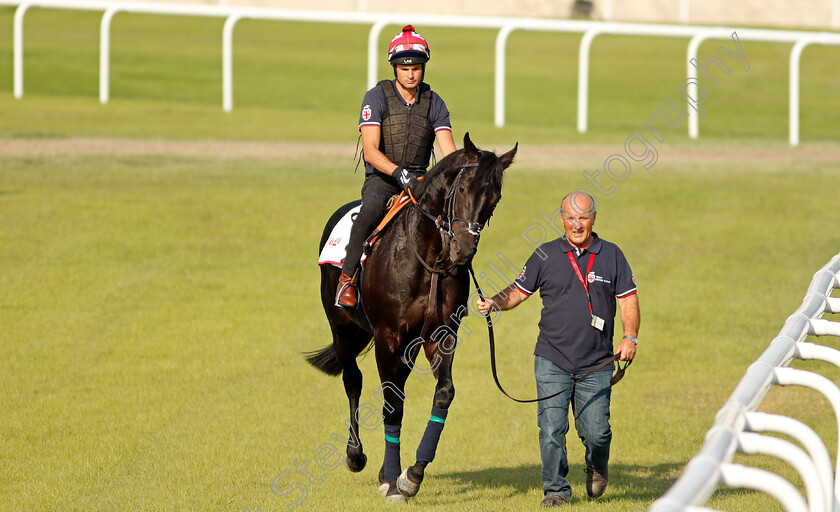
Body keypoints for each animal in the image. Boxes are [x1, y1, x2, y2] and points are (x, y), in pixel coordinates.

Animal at [306, 132, 516, 500]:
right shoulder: (387, 336)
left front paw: (411, 475)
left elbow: (443, 393)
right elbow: (391, 402)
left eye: (495, 198)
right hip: (342, 329)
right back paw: (355, 455)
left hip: (408, 345)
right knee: (353, 381)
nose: (463, 250)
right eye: (463, 188)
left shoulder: (441, 336)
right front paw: (392, 480)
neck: (426, 257)